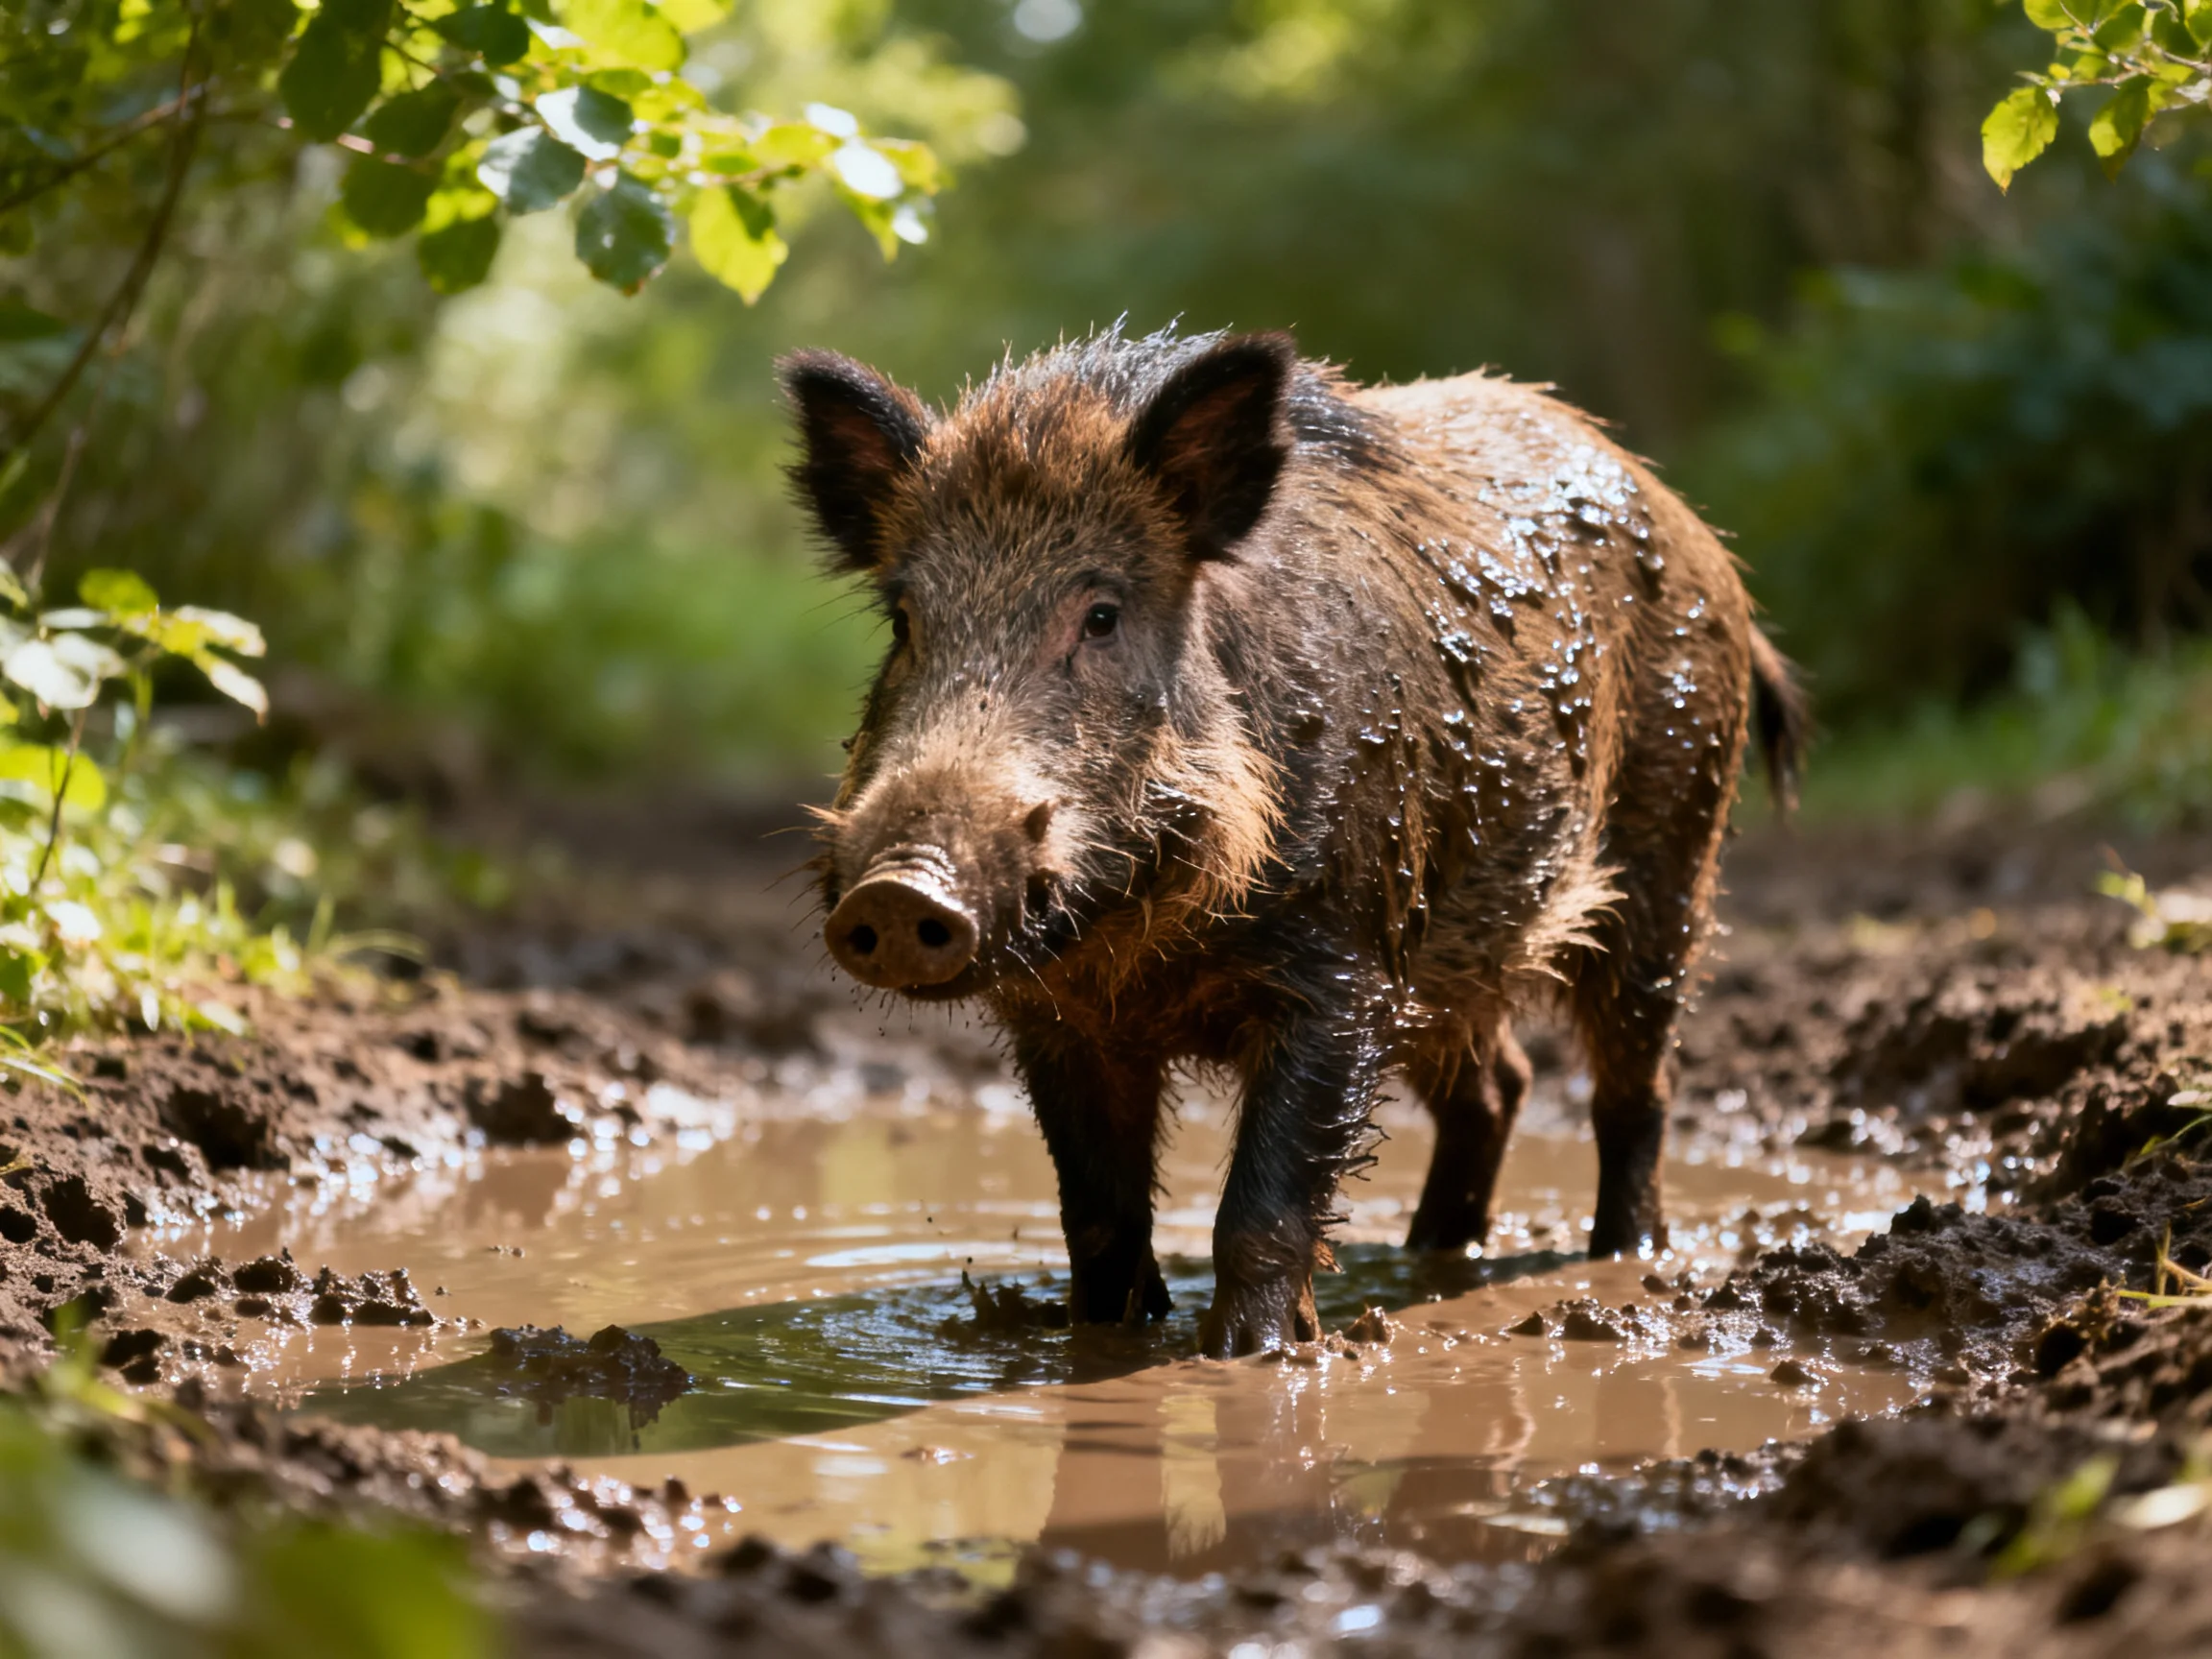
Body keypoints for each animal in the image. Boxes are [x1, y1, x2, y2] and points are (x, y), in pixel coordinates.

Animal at [784, 326, 1805, 1357]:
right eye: (905, 622)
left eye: (1102, 616)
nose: (897, 891)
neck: (1149, 952)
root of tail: (1705, 548)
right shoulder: (1061, 1020)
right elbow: (1100, 1223)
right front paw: (1107, 1345)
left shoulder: (1343, 964)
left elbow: (1261, 1214)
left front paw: (1255, 1357)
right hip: (1455, 954)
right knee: (1499, 1087)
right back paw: (1435, 1255)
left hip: (1671, 852)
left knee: (1635, 1089)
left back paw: (1621, 1258)